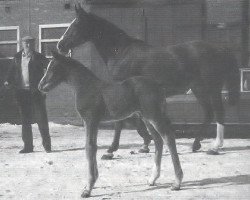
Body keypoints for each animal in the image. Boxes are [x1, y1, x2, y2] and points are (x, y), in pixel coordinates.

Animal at [38, 51, 184, 197]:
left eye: (53, 67)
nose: (40, 86)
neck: (86, 86)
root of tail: (159, 87)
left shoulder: (90, 120)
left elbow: (89, 147)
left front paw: (88, 188)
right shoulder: (91, 123)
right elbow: (93, 147)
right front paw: (92, 181)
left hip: (154, 116)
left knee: (168, 138)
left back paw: (177, 182)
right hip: (146, 118)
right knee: (158, 140)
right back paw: (152, 179)